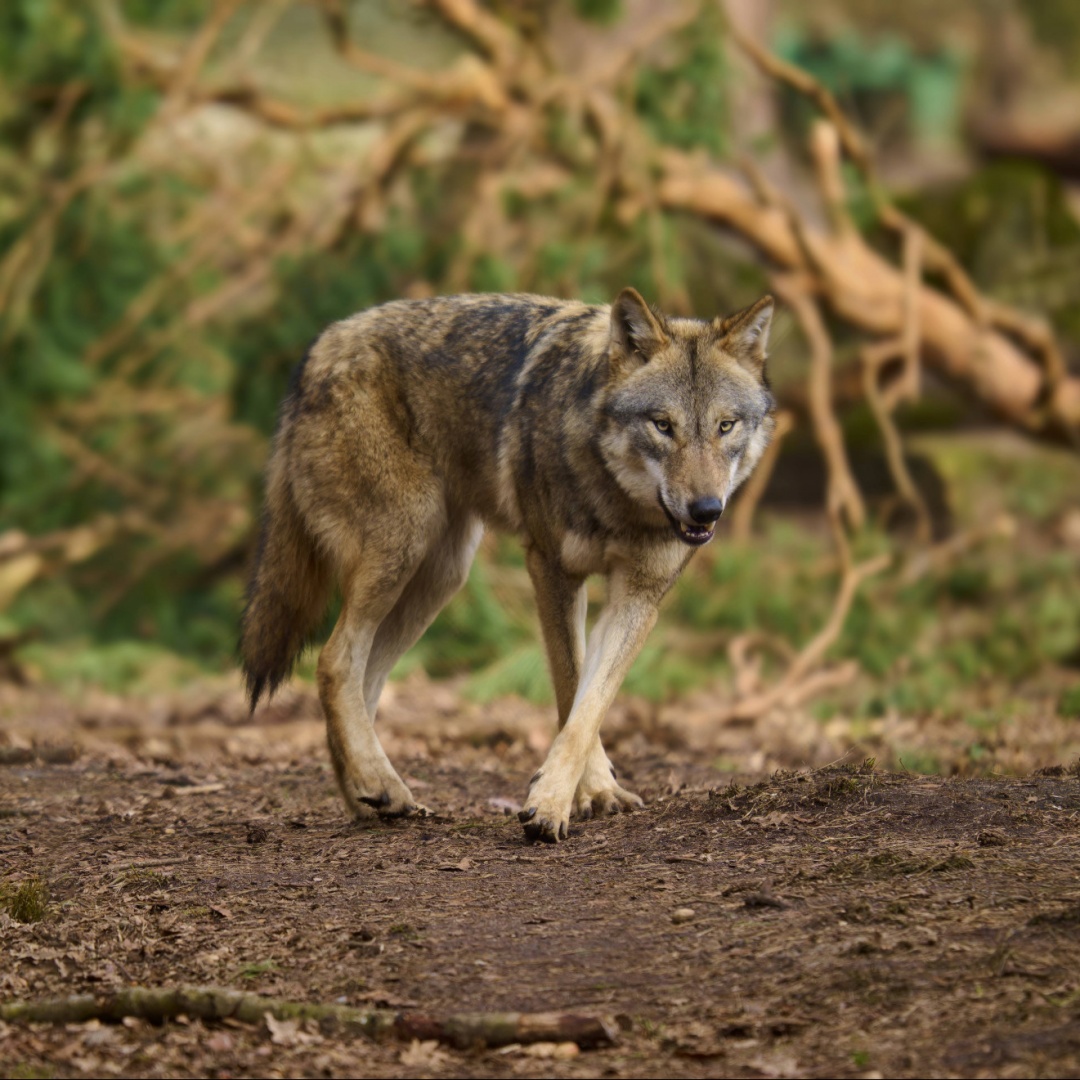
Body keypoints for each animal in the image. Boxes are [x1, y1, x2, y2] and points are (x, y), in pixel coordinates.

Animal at [240, 288, 775, 842]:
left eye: (726, 426)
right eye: (663, 425)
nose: (707, 510)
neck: (618, 502)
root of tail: (321, 346)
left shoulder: (639, 598)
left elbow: (590, 707)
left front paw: (588, 793)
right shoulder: (552, 571)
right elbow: (570, 690)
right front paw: (562, 801)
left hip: (439, 578)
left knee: (362, 680)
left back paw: (371, 799)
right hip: (403, 547)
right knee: (334, 661)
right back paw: (379, 784)